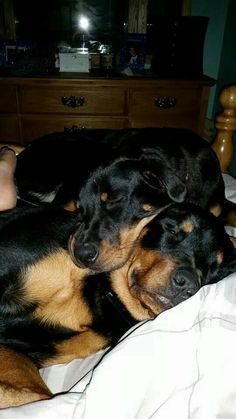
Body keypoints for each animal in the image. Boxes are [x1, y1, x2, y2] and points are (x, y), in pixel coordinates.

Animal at [0, 202, 236, 408]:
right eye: (172, 229)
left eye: (215, 270)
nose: (188, 284)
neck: (103, 292)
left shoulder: (31, 349)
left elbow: (33, 392)